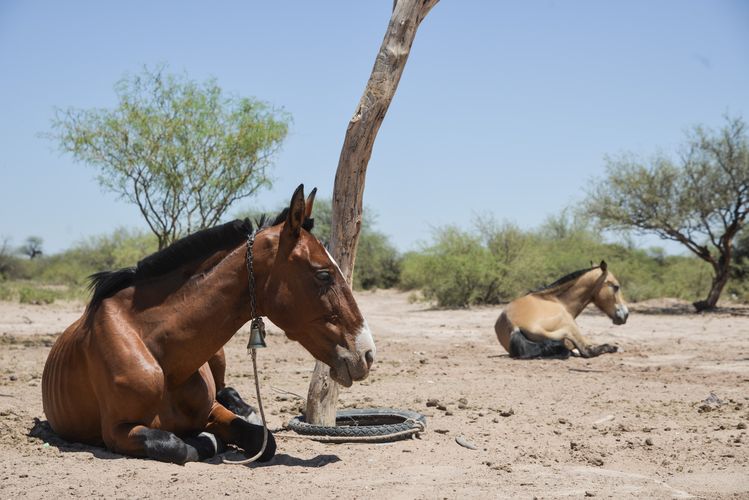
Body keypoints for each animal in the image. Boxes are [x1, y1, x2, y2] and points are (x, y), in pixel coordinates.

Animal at [41, 187, 374, 464]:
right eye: (323, 274)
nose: (367, 353)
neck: (159, 353)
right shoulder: (117, 431)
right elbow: (177, 445)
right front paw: (208, 441)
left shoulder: (212, 409)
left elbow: (263, 441)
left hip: (218, 356)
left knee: (228, 389)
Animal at [494, 262, 628, 360]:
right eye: (616, 287)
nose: (625, 314)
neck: (556, 300)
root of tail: (514, 327)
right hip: (570, 326)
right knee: (587, 351)